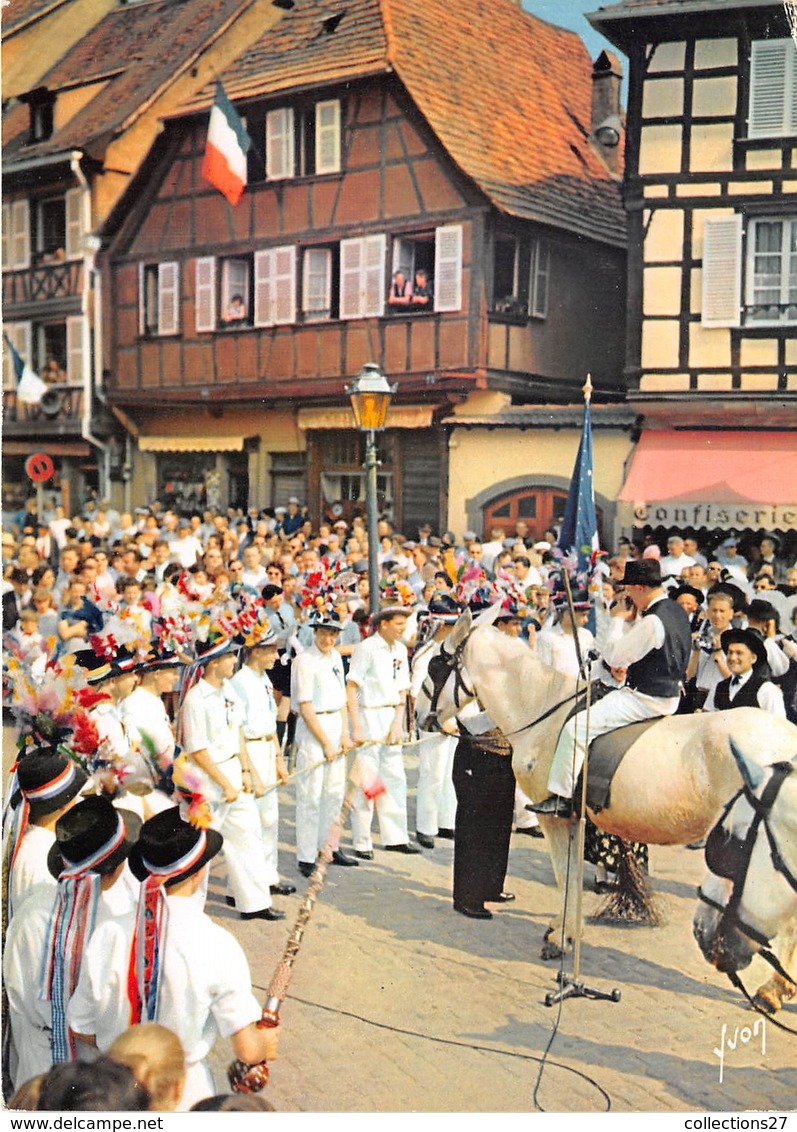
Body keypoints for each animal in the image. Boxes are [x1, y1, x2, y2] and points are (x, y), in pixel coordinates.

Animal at [414, 611, 797, 982]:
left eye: (434, 666)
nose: (418, 716)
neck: (543, 705)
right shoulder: (576, 820)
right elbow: (570, 876)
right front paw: (565, 931)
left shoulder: (554, 818)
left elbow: (564, 874)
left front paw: (562, 937)